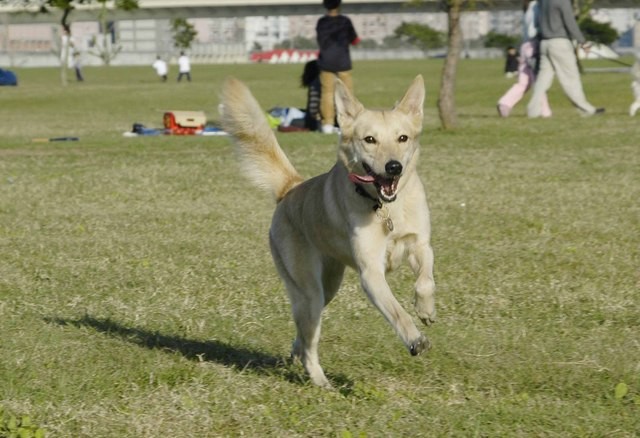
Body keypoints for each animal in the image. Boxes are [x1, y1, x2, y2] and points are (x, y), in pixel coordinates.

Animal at [220, 75, 436, 386]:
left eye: (402, 138)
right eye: (370, 139)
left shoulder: (420, 244)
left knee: (301, 333)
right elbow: (397, 312)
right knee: (310, 340)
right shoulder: (371, 274)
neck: (385, 209)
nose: (393, 167)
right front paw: (415, 339)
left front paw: (426, 309)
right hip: (311, 292)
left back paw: (297, 353)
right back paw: (321, 381)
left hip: (329, 286)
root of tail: (290, 189)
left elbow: (425, 281)